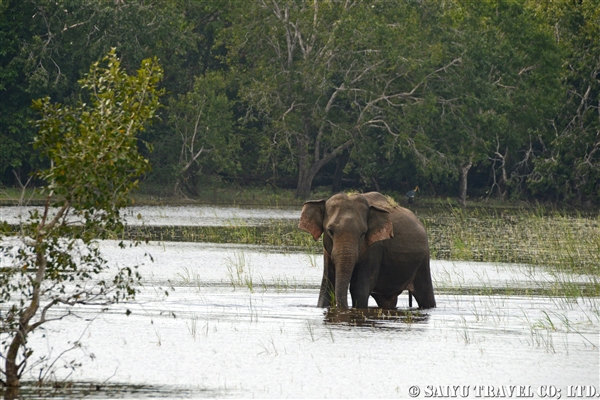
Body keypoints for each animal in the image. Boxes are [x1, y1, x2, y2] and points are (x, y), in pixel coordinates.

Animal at [300, 191, 436, 310]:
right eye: (330, 231)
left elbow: (358, 289)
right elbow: (326, 288)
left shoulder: (375, 248)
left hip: (423, 262)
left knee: (426, 295)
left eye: (363, 233)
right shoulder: (327, 252)